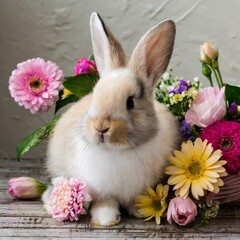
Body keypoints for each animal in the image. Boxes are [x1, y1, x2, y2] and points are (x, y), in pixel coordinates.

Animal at [42, 12, 178, 226]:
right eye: (95, 96)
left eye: (130, 102)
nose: (101, 127)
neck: (118, 151)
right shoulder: (100, 190)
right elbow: (105, 203)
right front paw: (106, 220)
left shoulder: (140, 189)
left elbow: (136, 201)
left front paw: (140, 212)